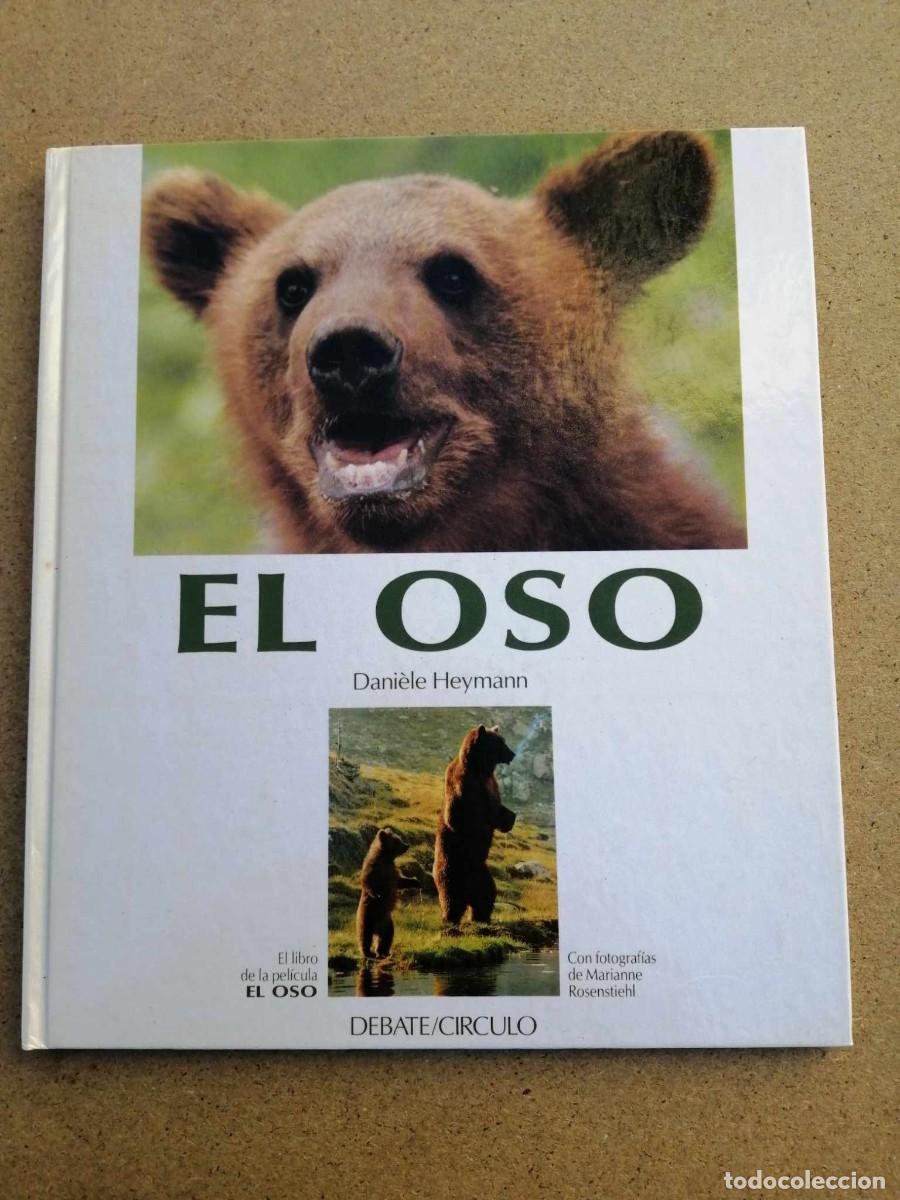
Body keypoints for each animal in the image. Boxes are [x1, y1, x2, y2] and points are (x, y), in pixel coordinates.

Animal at [356, 827, 415, 959]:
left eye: (399, 838)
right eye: (397, 841)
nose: (407, 845)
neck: (386, 857)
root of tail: (376, 929)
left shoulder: (393, 871)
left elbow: (400, 881)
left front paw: (414, 881)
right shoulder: (374, 868)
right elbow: (367, 881)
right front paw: (376, 894)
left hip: (387, 922)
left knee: (386, 937)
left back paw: (383, 952)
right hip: (367, 916)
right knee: (365, 936)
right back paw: (368, 952)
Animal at [433, 725, 517, 926]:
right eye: (500, 743)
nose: (512, 754)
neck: (480, 769)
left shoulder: (491, 785)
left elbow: (497, 808)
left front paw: (509, 818)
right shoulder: (464, 786)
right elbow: (458, 817)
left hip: (482, 875)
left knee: (486, 895)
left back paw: (481, 917)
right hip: (452, 869)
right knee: (452, 900)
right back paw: (450, 920)